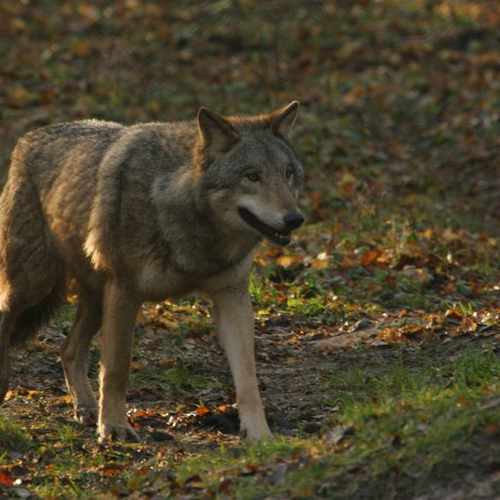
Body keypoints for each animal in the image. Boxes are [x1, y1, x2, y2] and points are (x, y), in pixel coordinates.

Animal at [0, 101, 304, 442]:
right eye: (252, 176)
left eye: (288, 174)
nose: (295, 219)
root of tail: (27, 139)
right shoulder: (125, 292)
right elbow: (117, 367)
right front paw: (115, 428)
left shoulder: (232, 297)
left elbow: (248, 376)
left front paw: (259, 434)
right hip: (31, 286)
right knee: (7, 318)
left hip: (95, 300)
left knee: (68, 350)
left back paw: (87, 408)